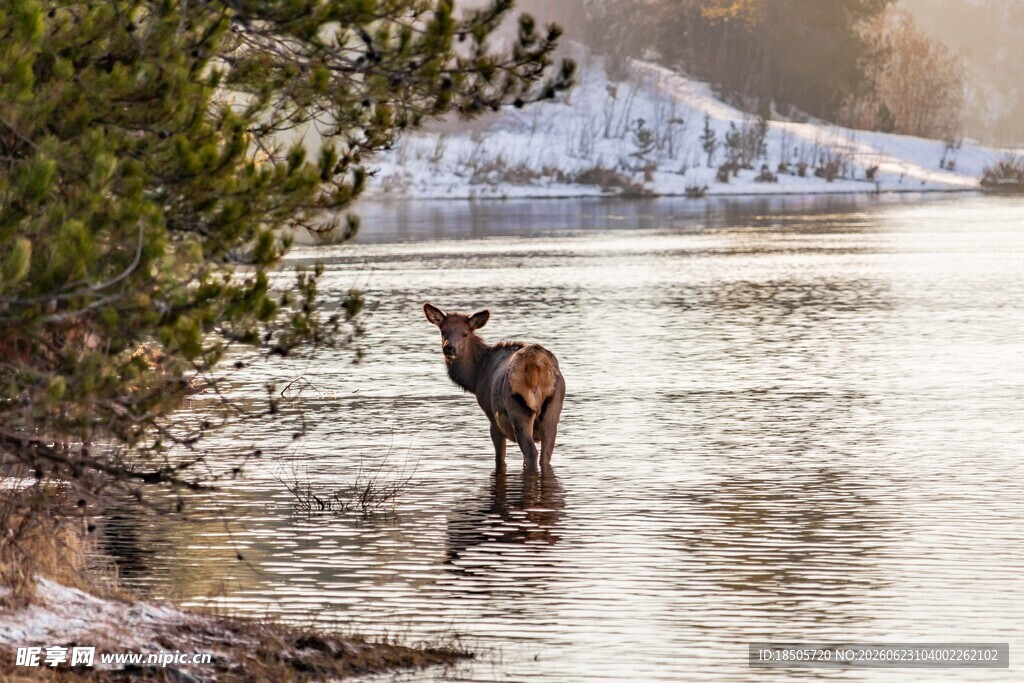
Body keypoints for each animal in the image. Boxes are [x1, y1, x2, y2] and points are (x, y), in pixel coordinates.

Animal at [423, 303, 565, 473]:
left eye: (465, 334)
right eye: (443, 331)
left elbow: (499, 459)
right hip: (553, 409)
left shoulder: (492, 418)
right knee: (546, 454)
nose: (449, 348)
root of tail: (537, 365)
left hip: (518, 408)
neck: (475, 377)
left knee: (531, 452)